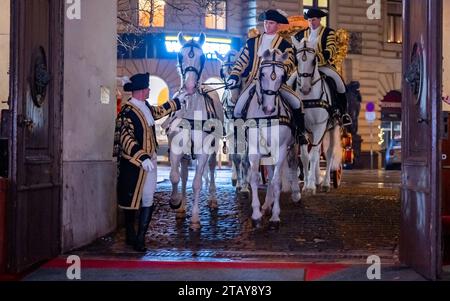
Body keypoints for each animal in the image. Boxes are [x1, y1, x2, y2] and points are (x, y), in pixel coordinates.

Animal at [165, 32, 225, 230]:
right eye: (179, 55)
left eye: (203, 56)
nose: (190, 87)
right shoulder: (176, 149)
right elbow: (175, 177)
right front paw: (176, 202)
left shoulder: (204, 151)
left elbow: (197, 182)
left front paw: (196, 218)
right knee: (183, 175)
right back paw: (182, 206)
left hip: (214, 149)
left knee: (211, 170)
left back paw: (212, 199)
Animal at [234, 48, 300, 227]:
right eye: (262, 74)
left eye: (282, 76)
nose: (269, 108)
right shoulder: (255, 150)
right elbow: (255, 178)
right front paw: (256, 214)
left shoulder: (281, 149)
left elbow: (277, 181)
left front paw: (275, 217)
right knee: (269, 174)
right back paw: (266, 205)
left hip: (292, 147)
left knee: (292, 165)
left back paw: (294, 195)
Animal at [290, 39, 342, 195]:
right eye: (297, 60)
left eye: (314, 60)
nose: (305, 89)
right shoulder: (301, 129)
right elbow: (305, 157)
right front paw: (307, 184)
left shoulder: (320, 126)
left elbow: (313, 155)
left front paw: (310, 186)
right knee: (317, 151)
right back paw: (317, 179)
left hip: (333, 127)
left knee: (329, 152)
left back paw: (325, 183)